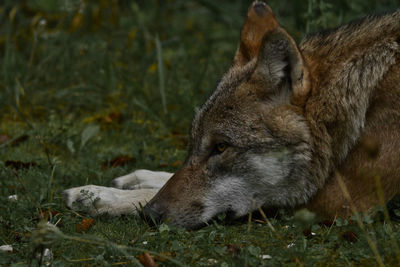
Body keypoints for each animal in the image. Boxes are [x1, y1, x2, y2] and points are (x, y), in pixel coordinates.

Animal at [63, 1, 400, 229]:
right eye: (195, 144)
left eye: (221, 147)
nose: (151, 216)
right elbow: (166, 177)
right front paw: (135, 179)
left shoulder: (338, 202)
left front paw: (101, 198)